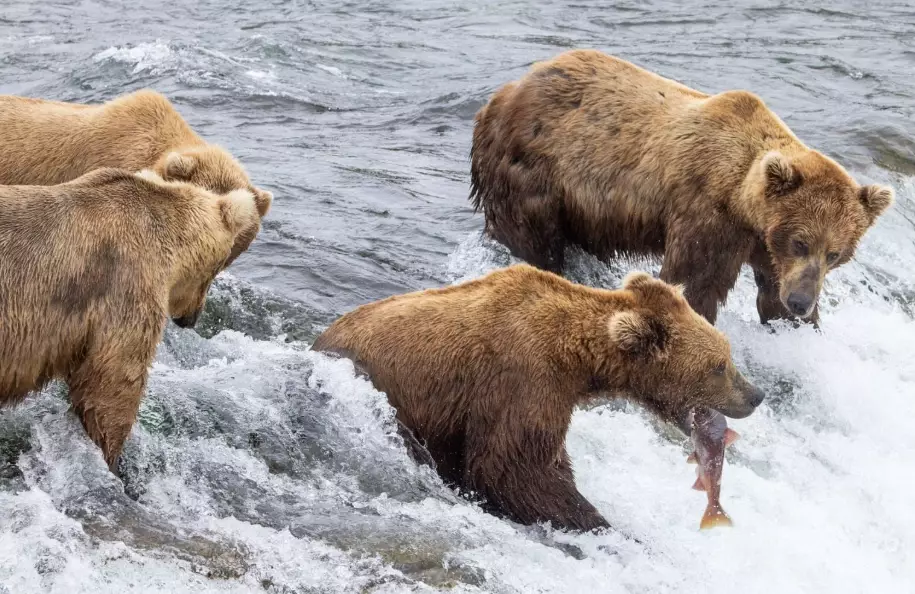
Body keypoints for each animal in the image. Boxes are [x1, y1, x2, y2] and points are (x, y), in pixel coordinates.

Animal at [312, 265, 765, 532]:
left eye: (726, 356)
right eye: (719, 366)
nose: (755, 395)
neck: (578, 359)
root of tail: (319, 341)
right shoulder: (523, 383)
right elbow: (516, 469)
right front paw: (600, 522)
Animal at [470, 50, 894, 325]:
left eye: (835, 253)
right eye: (801, 242)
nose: (802, 302)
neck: (744, 202)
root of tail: (503, 94)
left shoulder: (764, 245)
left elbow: (771, 288)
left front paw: (793, 319)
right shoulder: (708, 215)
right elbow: (694, 281)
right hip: (533, 173)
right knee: (532, 238)